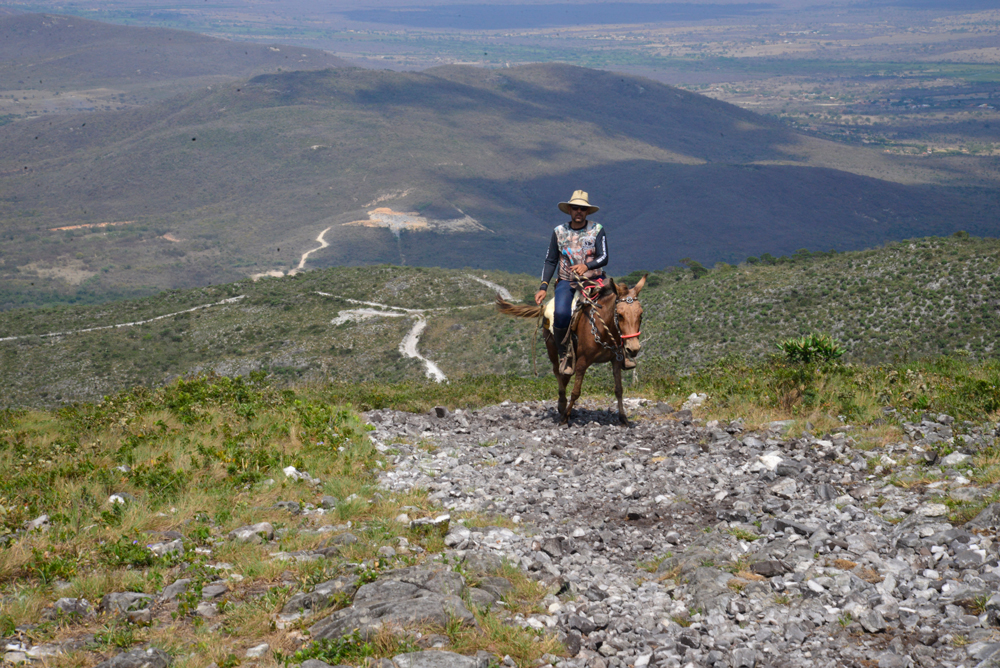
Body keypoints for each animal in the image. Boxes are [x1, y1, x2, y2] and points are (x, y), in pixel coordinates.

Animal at [496, 276, 646, 426]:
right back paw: (562, 404)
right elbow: (576, 392)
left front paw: (623, 418)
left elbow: (619, 389)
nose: (633, 348)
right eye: (620, 315)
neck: (602, 327)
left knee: (565, 374)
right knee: (558, 372)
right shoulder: (582, 362)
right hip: (551, 347)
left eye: (640, 315)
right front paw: (565, 417)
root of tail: (546, 306)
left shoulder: (616, 360)